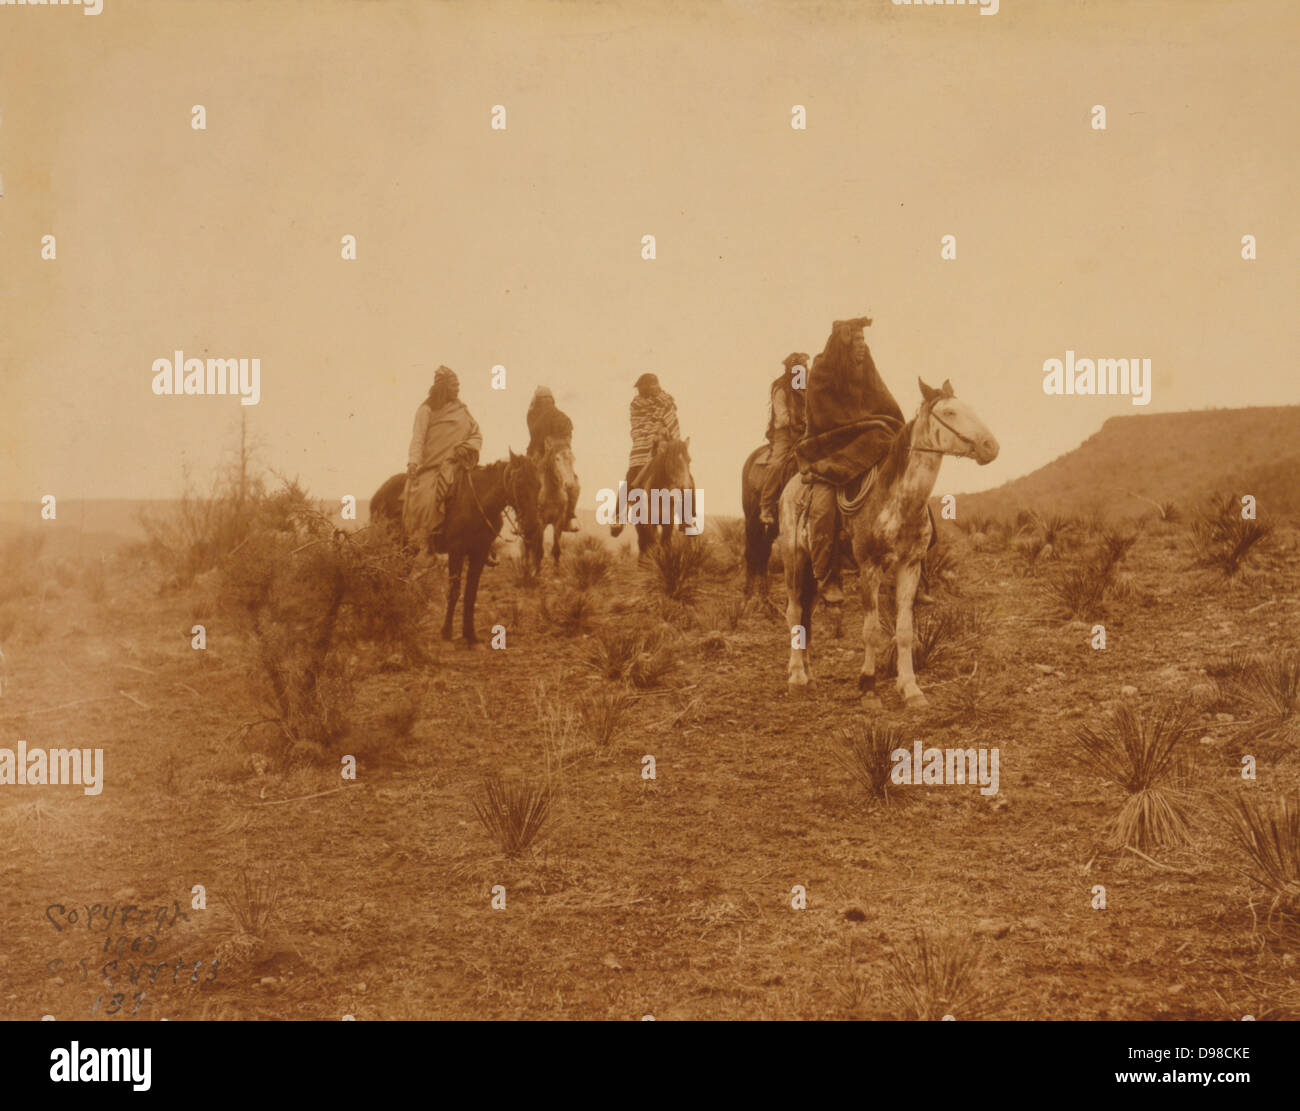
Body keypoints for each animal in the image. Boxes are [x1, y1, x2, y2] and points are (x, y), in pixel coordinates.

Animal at [371, 449, 543, 641]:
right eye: (519, 483)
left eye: (538, 485)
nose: (533, 526)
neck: (478, 502)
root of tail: (378, 494)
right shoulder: (456, 551)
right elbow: (453, 592)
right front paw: (446, 631)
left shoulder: (479, 552)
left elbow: (471, 593)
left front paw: (470, 634)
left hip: (407, 550)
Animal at [525, 436, 582, 574]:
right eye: (557, 458)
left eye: (573, 458)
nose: (569, 484)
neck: (551, 492)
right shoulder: (540, 521)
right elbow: (538, 549)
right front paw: (537, 571)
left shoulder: (558, 520)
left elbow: (556, 548)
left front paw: (557, 571)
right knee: (528, 545)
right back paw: (527, 567)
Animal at [774, 376, 998, 706]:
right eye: (950, 412)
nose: (990, 446)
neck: (896, 500)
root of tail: (791, 487)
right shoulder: (870, 567)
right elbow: (871, 630)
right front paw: (868, 684)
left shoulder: (910, 566)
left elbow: (904, 630)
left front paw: (910, 689)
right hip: (794, 559)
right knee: (793, 612)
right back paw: (797, 678)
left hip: (815, 573)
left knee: (806, 617)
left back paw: (810, 675)